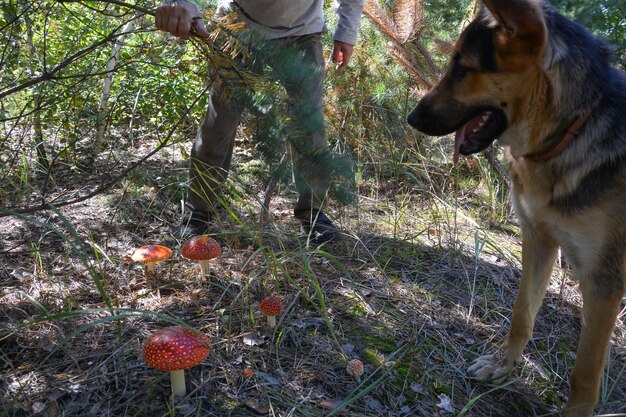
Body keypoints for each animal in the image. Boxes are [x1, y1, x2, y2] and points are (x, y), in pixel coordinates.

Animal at [408, 0, 620, 416]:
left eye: (463, 68)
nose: (412, 118)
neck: (571, 129)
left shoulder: (603, 282)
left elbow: (585, 374)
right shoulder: (538, 241)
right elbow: (522, 316)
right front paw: (503, 365)